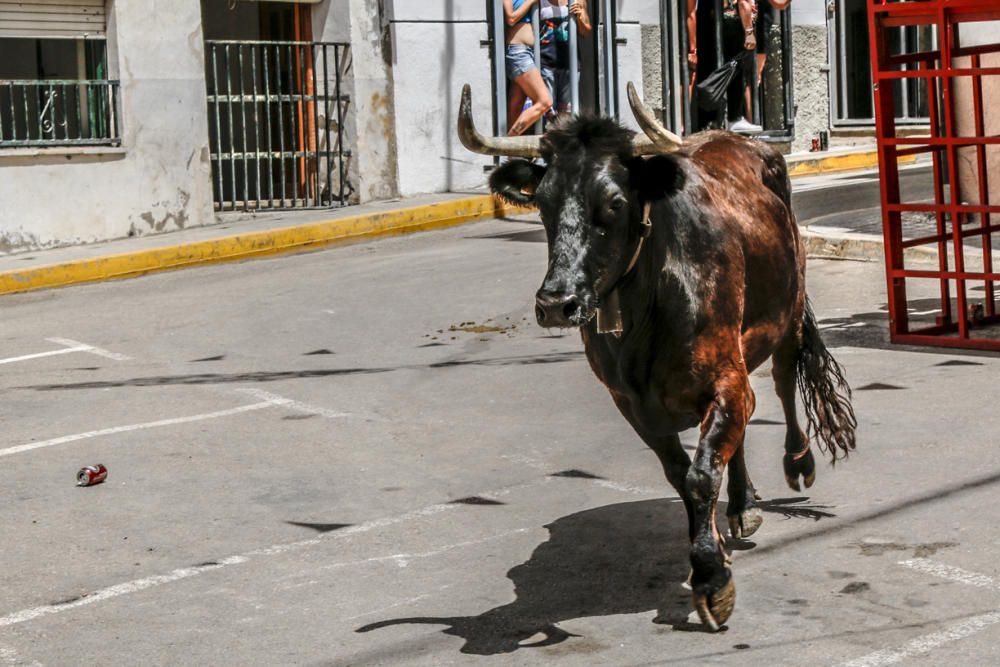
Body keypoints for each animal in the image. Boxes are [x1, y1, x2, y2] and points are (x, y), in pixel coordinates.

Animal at [458, 85, 856, 632]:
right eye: (543, 201)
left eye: (615, 202)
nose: (556, 303)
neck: (648, 307)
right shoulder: (633, 403)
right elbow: (684, 473)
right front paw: (713, 548)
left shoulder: (726, 378)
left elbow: (702, 472)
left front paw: (711, 579)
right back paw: (742, 505)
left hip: (789, 311)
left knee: (781, 378)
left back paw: (797, 461)